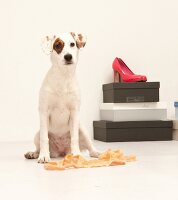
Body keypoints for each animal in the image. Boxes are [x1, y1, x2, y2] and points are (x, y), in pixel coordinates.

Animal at [24, 31, 99, 162]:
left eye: (72, 44)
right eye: (57, 45)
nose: (68, 56)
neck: (63, 77)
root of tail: (62, 151)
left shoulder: (74, 112)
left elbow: (74, 138)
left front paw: (77, 155)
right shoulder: (44, 111)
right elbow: (44, 138)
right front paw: (44, 156)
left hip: (82, 129)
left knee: (90, 146)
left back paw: (96, 153)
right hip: (36, 134)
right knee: (39, 145)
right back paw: (34, 153)